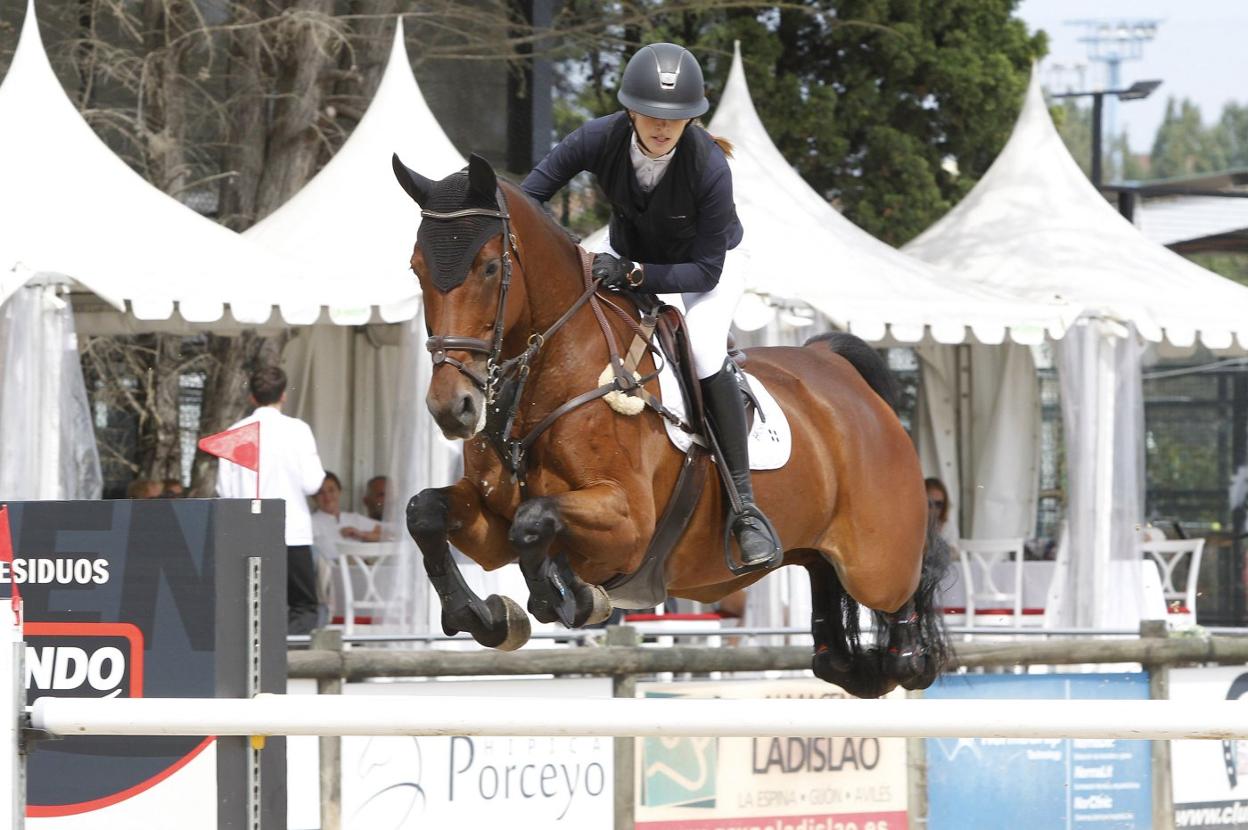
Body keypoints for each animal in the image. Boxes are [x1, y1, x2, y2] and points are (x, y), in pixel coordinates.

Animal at [389, 152, 943, 693]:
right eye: (415, 269)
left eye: (487, 267)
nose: (452, 406)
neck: (547, 375)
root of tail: (838, 369)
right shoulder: (492, 525)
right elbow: (427, 513)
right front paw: (483, 616)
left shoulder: (628, 524)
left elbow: (535, 520)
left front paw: (568, 597)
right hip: (814, 547)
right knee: (828, 596)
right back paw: (843, 659)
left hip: (876, 561)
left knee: (911, 583)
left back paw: (908, 656)